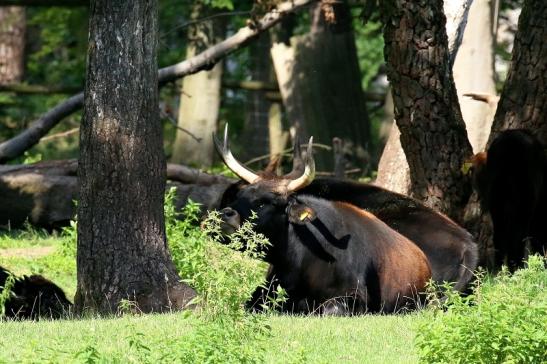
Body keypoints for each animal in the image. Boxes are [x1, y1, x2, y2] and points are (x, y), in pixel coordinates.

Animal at [474, 129, 544, 270]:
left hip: (497, 202)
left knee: (500, 237)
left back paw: (498, 271)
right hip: (523, 203)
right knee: (516, 238)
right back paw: (516, 269)